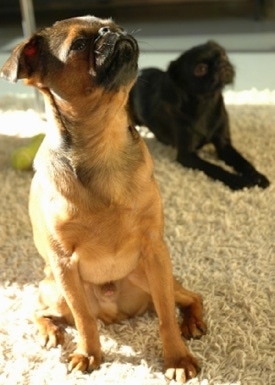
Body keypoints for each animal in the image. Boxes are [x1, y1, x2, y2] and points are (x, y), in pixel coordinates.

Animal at [1, 14, 206, 380]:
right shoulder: (64, 264)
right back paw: (50, 333)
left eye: (114, 24)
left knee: (188, 297)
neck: (104, 144)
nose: (112, 32)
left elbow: (166, 315)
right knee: (38, 310)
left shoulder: (155, 249)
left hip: (151, 275)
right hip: (55, 289)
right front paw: (88, 354)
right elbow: (84, 319)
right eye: (79, 45)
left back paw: (192, 323)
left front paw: (177, 358)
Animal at [129, 40, 270, 190]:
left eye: (223, 55)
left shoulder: (224, 145)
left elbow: (242, 161)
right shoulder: (187, 156)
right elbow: (214, 168)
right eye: (201, 69)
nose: (221, 64)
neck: (207, 104)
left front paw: (257, 176)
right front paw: (238, 181)